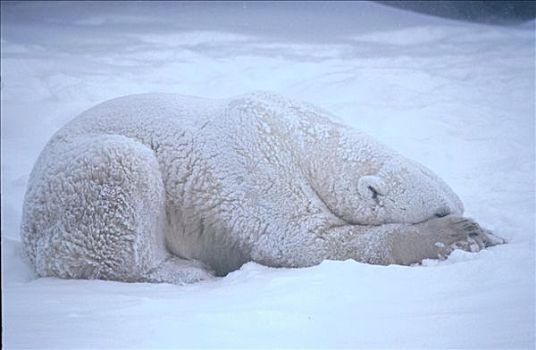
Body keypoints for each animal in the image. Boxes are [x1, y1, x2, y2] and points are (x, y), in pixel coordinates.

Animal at [19, 91, 502, 284]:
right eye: (439, 211)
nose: (457, 219)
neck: (300, 136)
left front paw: (491, 233)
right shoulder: (250, 162)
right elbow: (299, 238)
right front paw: (460, 236)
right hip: (74, 181)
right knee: (121, 173)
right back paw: (185, 271)